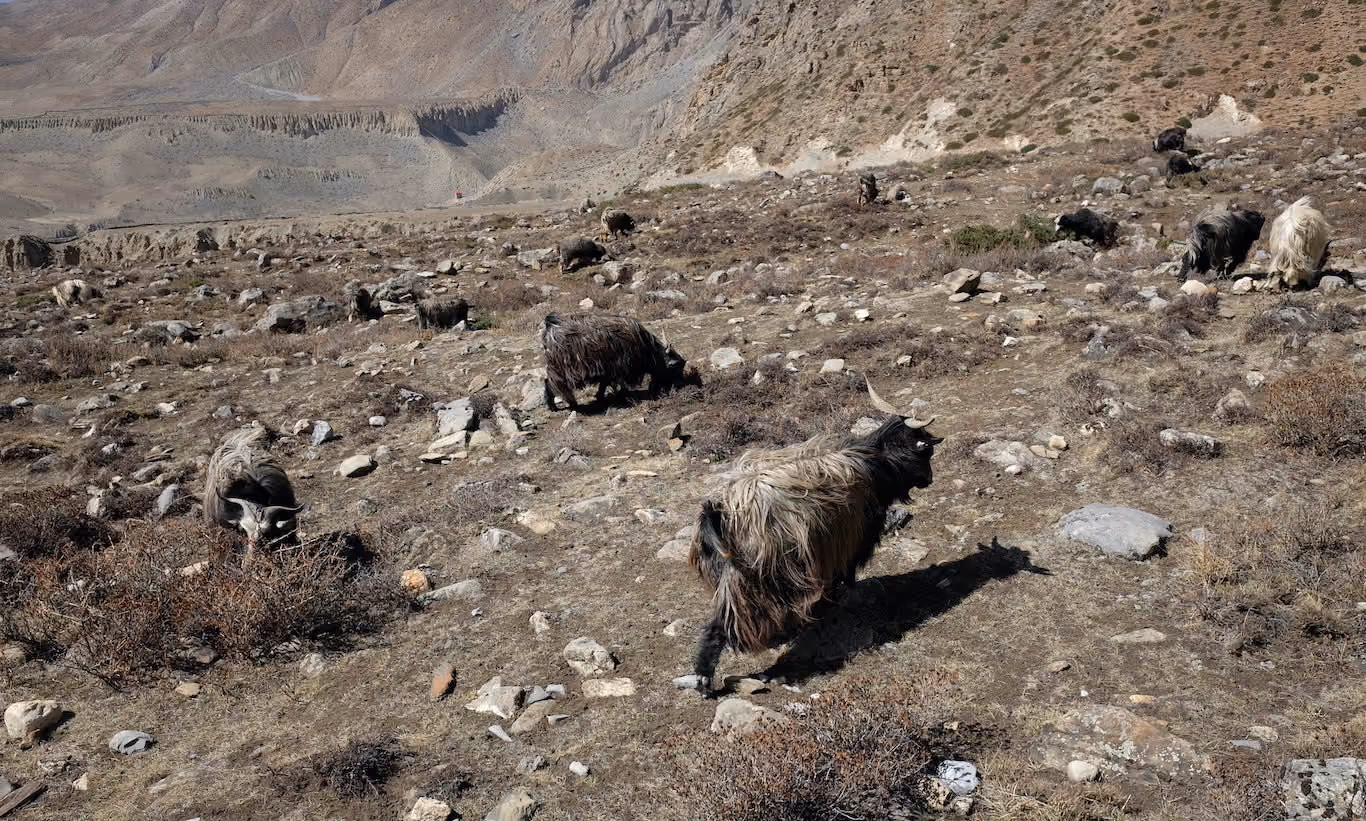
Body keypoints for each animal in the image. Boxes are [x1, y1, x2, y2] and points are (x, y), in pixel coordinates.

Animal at [539, 312, 701, 411]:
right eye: (674, 366)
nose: (681, 385)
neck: (645, 348)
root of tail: (550, 325)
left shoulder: (609, 371)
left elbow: (604, 384)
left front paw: (601, 397)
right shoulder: (618, 368)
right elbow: (614, 384)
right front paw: (620, 397)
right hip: (562, 369)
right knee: (553, 383)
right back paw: (564, 405)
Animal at [688, 381, 941, 693]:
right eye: (925, 451)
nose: (929, 480)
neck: (874, 463)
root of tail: (717, 512)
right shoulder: (849, 542)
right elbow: (842, 578)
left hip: (722, 576)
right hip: (752, 580)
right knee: (719, 625)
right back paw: (704, 679)